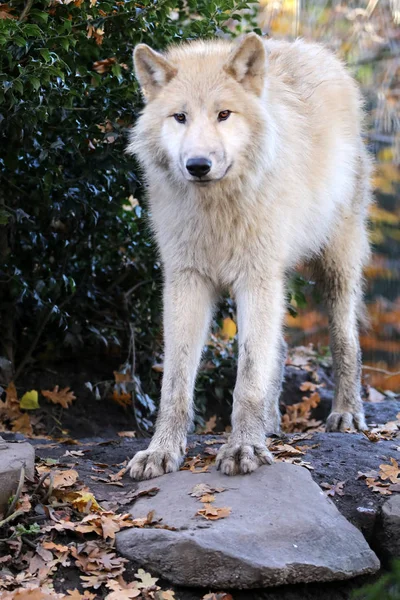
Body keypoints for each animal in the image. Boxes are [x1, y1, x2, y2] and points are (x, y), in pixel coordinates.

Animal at [127, 34, 372, 482]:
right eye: (179, 117)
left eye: (224, 114)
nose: (198, 165)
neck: (216, 210)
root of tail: (317, 51)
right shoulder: (186, 281)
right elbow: (175, 382)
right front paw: (161, 451)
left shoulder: (255, 278)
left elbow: (248, 379)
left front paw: (243, 448)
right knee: (280, 346)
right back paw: (271, 423)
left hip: (335, 266)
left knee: (345, 338)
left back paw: (346, 414)